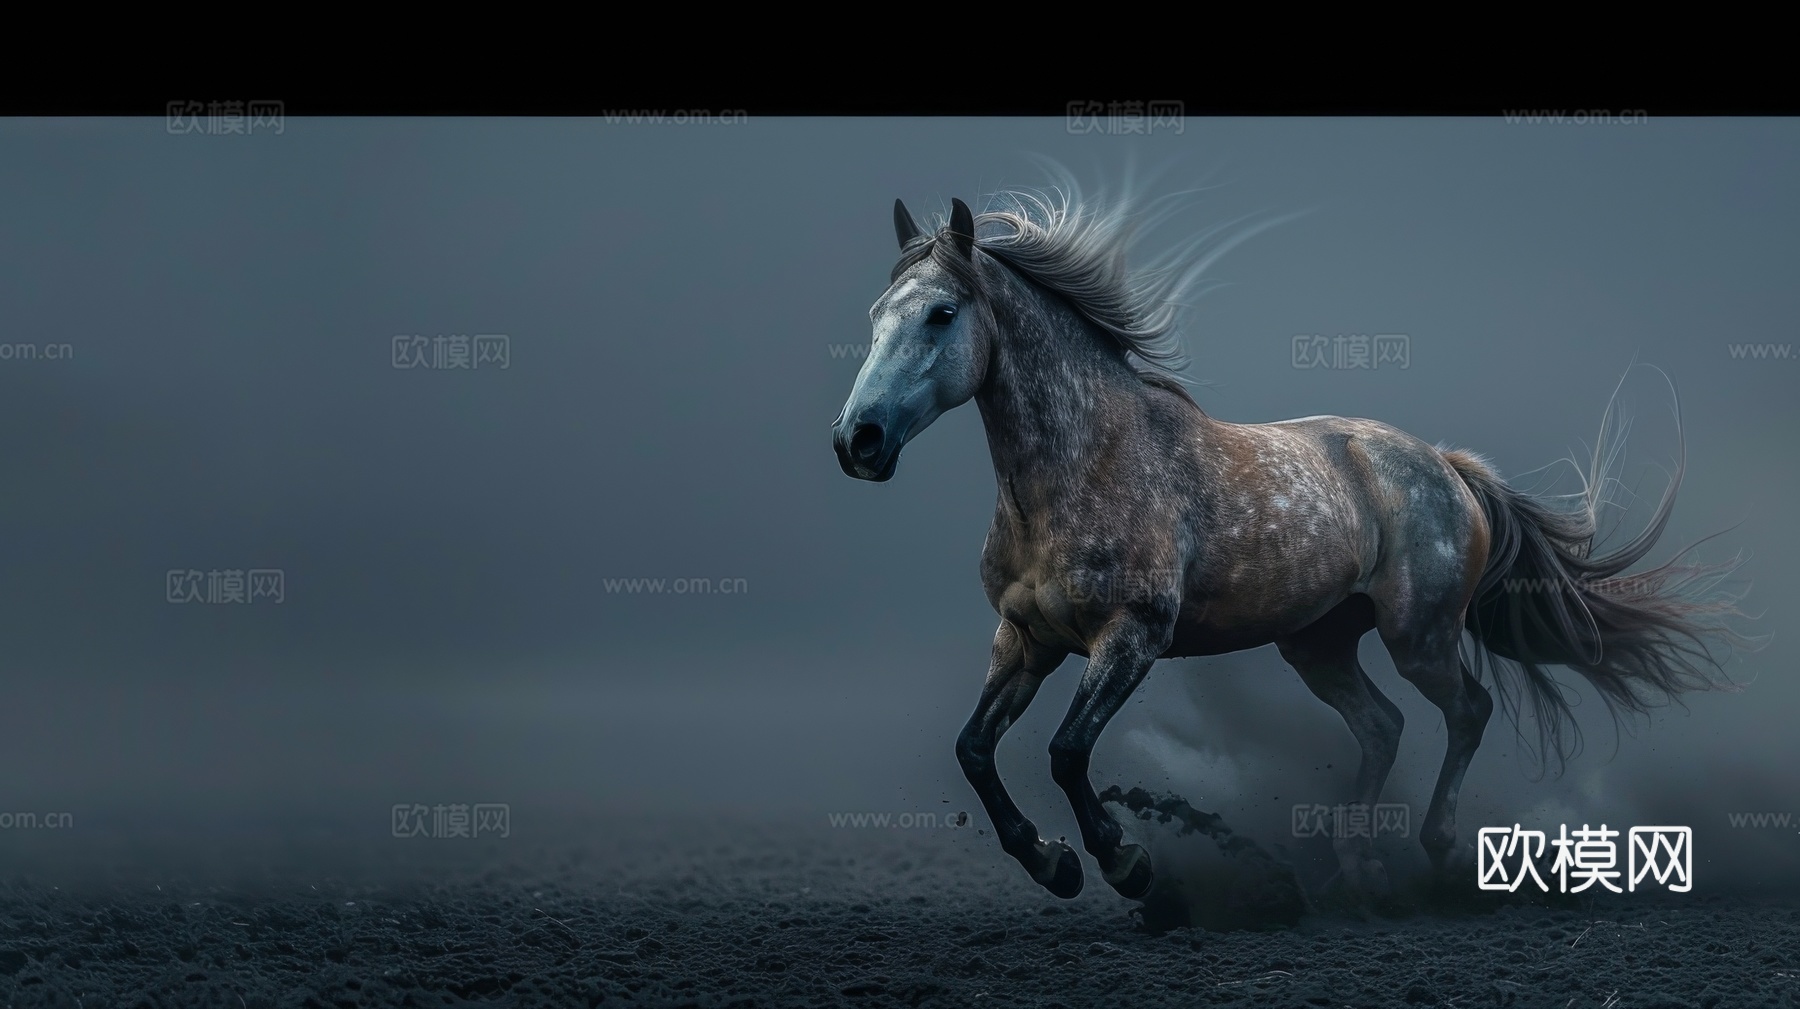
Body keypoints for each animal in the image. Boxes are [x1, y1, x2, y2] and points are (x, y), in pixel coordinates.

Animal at [831, 184, 1746, 901]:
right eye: (875, 318)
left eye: (941, 314)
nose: (857, 440)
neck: (1084, 464)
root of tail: (1446, 466)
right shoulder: (1025, 636)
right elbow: (974, 749)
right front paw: (1053, 862)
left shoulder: (1131, 638)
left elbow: (1064, 750)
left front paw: (1127, 864)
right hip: (1318, 643)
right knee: (1381, 726)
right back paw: (1351, 870)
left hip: (1419, 635)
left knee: (1467, 710)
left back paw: (1439, 850)